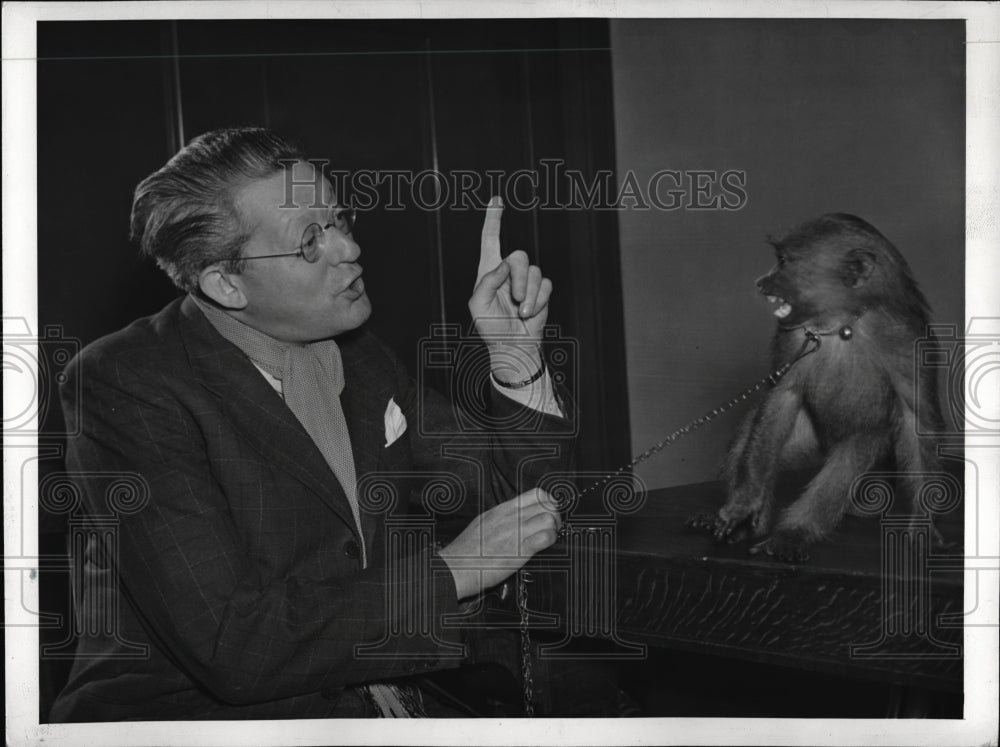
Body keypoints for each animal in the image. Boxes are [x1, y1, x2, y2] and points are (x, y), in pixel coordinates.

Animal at [688, 213, 944, 564]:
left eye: (784, 262)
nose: (760, 282)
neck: (841, 321)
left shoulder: (907, 337)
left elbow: (915, 418)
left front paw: (924, 523)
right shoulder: (794, 335)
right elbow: (782, 397)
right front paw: (745, 504)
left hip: (869, 443)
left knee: (853, 454)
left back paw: (792, 535)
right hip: (807, 437)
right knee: (751, 436)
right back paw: (747, 523)